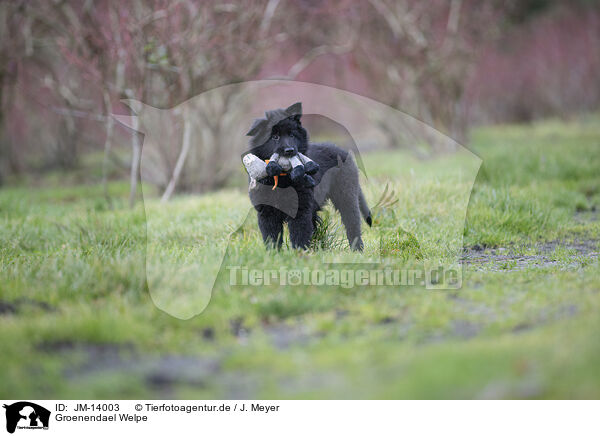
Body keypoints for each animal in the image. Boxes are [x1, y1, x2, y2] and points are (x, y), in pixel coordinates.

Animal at [245, 102, 370, 250]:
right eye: (274, 137)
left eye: (292, 135)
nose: (289, 151)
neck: (282, 179)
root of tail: (343, 152)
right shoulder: (267, 212)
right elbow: (272, 238)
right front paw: (273, 254)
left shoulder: (300, 210)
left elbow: (299, 235)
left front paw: (299, 253)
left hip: (346, 196)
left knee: (353, 224)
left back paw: (357, 250)